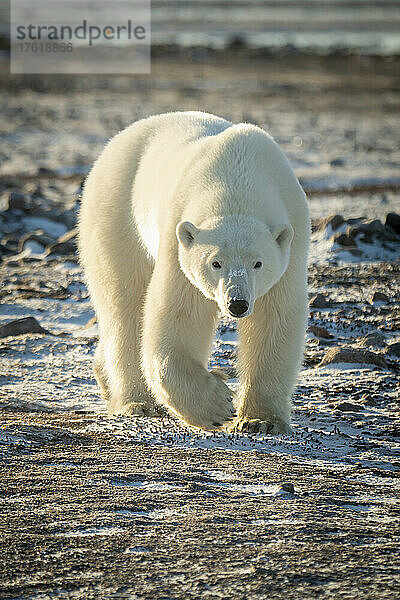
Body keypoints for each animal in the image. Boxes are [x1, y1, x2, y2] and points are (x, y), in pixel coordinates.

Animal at [78, 110, 310, 434]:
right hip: (116, 213)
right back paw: (137, 402)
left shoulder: (293, 238)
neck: (238, 174)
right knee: (125, 304)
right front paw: (218, 404)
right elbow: (178, 313)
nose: (238, 304)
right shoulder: (178, 237)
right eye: (215, 262)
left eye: (258, 263)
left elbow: (275, 316)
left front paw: (262, 421)